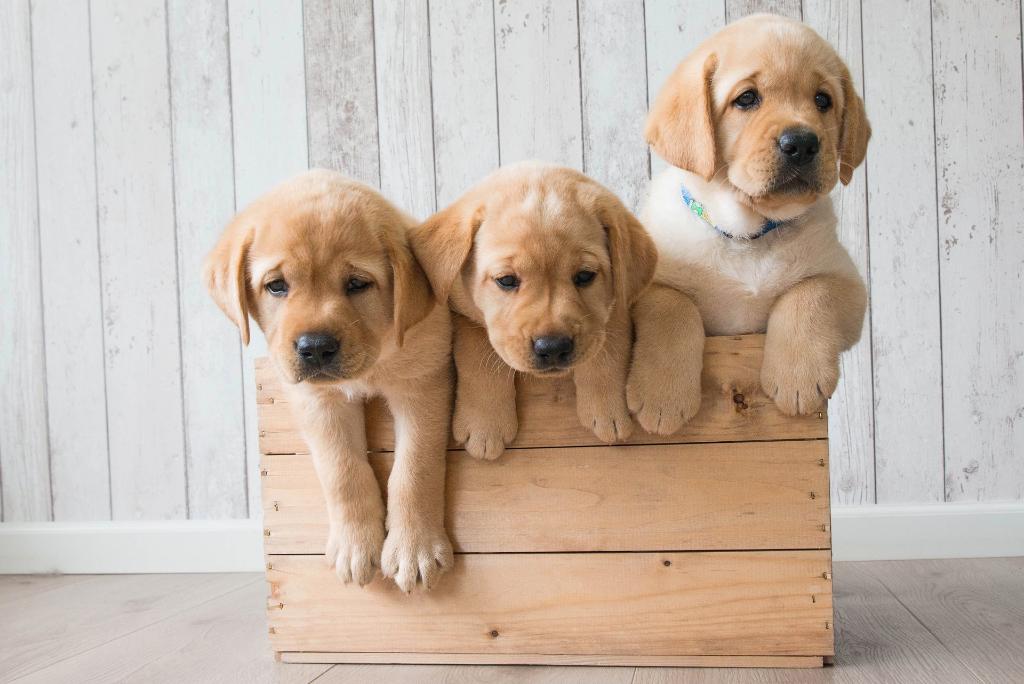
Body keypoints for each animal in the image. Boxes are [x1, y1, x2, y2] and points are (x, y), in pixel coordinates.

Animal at [203, 171, 452, 593]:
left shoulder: (422, 383)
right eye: (276, 286)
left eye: (356, 284)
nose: (315, 348)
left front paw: (413, 548)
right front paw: (356, 546)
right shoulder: (318, 400)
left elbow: (414, 470)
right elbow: (342, 470)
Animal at [413, 162, 659, 458]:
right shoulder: (460, 310)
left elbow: (607, 346)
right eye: (506, 280)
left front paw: (606, 408)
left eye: (585, 276)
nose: (553, 347)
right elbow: (477, 351)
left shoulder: (617, 305)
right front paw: (485, 424)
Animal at [626, 14, 868, 432]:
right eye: (747, 98)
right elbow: (673, 307)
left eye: (822, 100)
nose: (802, 143)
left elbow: (810, 293)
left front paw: (797, 377)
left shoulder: (848, 283)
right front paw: (662, 396)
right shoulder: (651, 284)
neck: (746, 235)